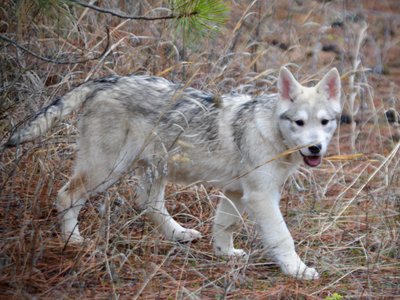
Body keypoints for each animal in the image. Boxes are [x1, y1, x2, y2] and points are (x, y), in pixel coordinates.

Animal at [3, 67, 340, 280]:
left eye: (324, 122)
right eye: (299, 123)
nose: (314, 148)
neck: (271, 131)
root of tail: (105, 81)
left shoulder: (235, 192)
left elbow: (223, 227)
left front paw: (224, 254)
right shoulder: (262, 197)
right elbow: (283, 238)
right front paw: (298, 271)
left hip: (151, 170)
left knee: (148, 205)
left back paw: (179, 234)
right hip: (107, 169)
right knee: (67, 195)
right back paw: (73, 240)